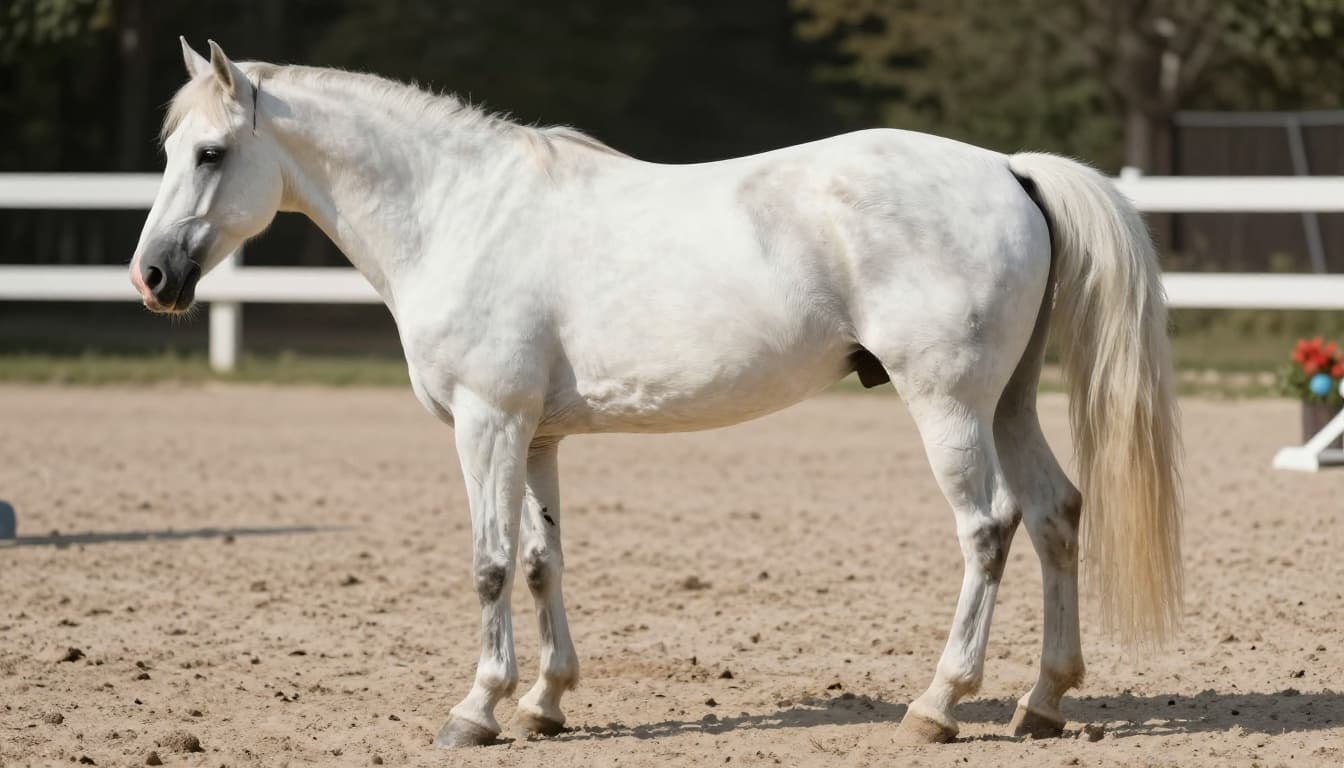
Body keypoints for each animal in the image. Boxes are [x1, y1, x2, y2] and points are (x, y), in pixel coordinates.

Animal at [130, 39, 1183, 747]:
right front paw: (545, 704)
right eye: (169, 148)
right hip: (1008, 404)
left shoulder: (487, 424)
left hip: (949, 405)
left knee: (988, 527)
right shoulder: (538, 437)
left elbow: (488, 564)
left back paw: (937, 704)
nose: (152, 277)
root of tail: (1008, 170)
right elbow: (544, 562)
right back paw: (1041, 701)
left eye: (212, 153)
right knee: (1055, 514)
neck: (458, 211)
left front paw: (477, 709)